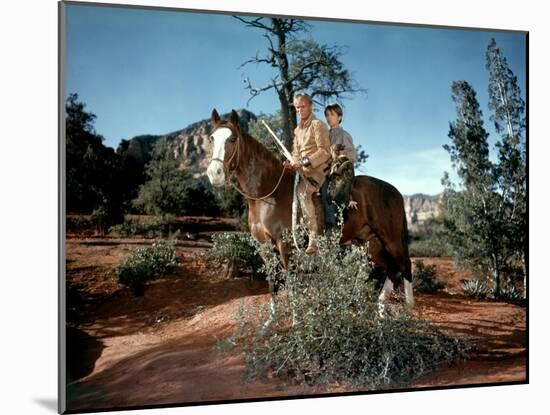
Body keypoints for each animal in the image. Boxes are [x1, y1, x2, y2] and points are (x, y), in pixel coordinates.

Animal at [207, 109, 414, 310]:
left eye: (232, 139)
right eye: (211, 138)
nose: (214, 174)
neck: (267, 194)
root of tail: (395, 191)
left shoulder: (285, 246)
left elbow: (291, 285)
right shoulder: (264, 247)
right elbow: (273, 285)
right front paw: (271, 319)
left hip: (391, 239)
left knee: (405, 267)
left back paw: (408, 309)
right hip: (370, 242)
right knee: (392, 270)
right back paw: (380, 311)